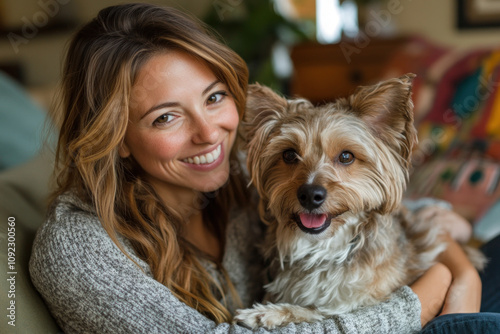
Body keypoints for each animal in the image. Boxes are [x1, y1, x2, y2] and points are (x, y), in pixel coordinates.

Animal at [234, 75, 484, 328]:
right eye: (288, 155)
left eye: (346, 156)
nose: (310, 195)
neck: (324, 246)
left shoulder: (363, 301)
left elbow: (319, 311)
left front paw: (266, 313)